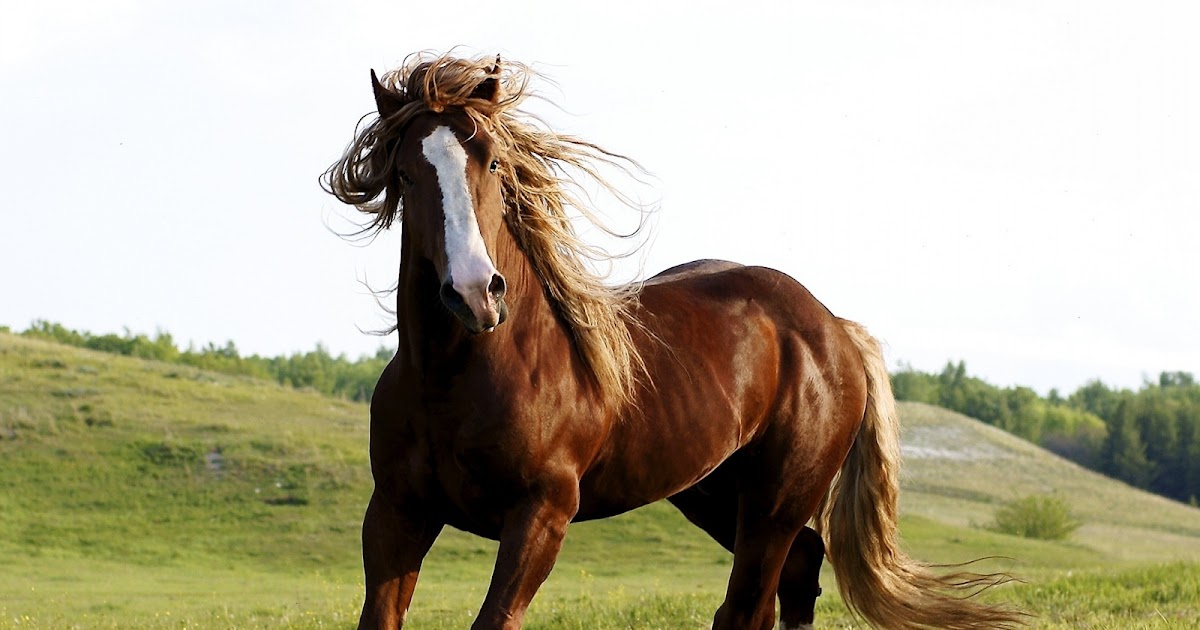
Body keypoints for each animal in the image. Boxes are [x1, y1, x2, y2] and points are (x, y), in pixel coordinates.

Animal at [324, 52, 1023, 630]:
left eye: (492, 162)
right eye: (406, 174)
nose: (474, 293)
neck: (459, 377)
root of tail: (833, 328)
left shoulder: (540, 516)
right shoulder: (396, 513)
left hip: (775, 502)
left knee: (750, 606)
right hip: (716, 496)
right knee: (795, 576)